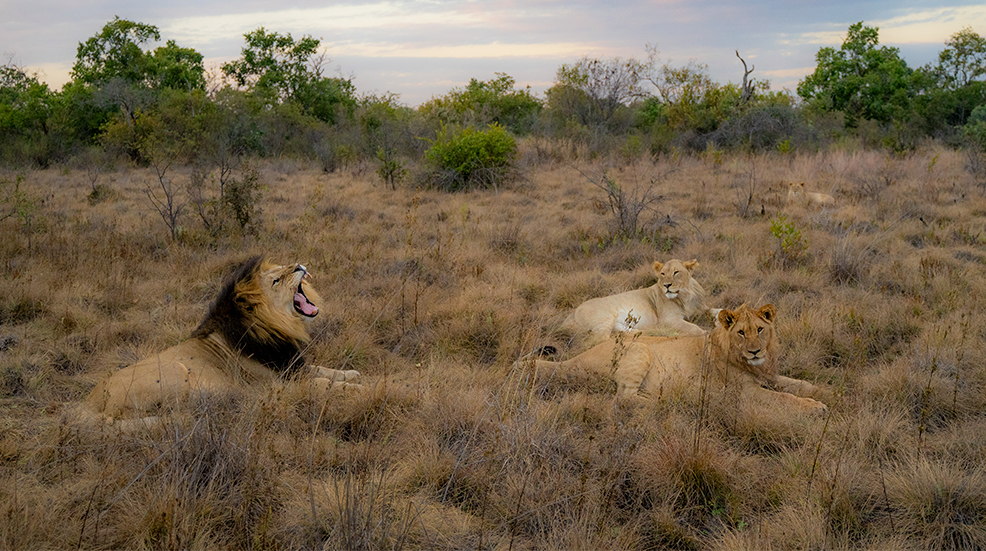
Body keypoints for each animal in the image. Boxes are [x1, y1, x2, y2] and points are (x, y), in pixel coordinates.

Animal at [82, 256, 359, 429]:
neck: (279, 325)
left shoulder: (292, 367)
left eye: (283, 266)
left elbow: (327, 371)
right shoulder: (280, 385)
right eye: (276, 280)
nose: (299, 266)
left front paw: (353, 374)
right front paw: (360, 388)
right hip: (175, 370)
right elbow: (325, 384)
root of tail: (89, 405)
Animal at [527, 304, 827, 414]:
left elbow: (796, 384)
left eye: (760, 330)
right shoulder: (745, 393)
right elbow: (785, 397)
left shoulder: (769, 375)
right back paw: (669, 402)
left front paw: (823, 391)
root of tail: (576, 358)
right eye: (741, 332)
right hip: (640, 349)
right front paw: (816, 407)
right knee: (623, 398)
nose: (755, 351)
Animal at [561, 259, 713, 343]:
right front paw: (704, 332)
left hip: (618, 324)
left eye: (676, 272)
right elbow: (693, 328)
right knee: (600, 339)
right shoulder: (669, 319)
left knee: (621, 332)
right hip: (604, 317)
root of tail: (572, 314)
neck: (685, 295)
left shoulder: (702, 308)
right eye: (663, 274)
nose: (666, 285)